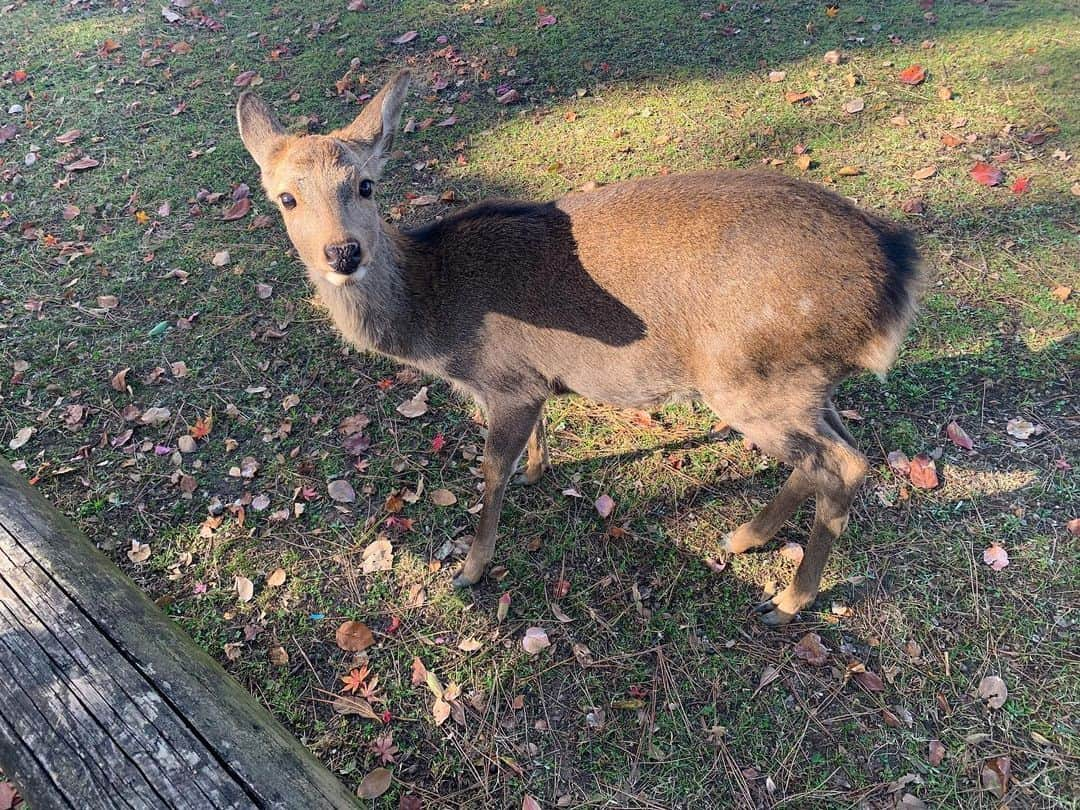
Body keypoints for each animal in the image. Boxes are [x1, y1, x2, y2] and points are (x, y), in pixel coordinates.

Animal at [240, 69, 924, 626]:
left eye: (365, 185)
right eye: (286, 197)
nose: (342, 252)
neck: (436, 319)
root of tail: (897, 271)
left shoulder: (506, 380)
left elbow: (491, 472)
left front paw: (471, 569)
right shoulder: (527, 382)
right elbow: (532, 444)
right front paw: (539, 471)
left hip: (747, 377)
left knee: (842, 463)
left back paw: (787, 598)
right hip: (802, 378)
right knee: (842, 451)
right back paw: (743, 538)